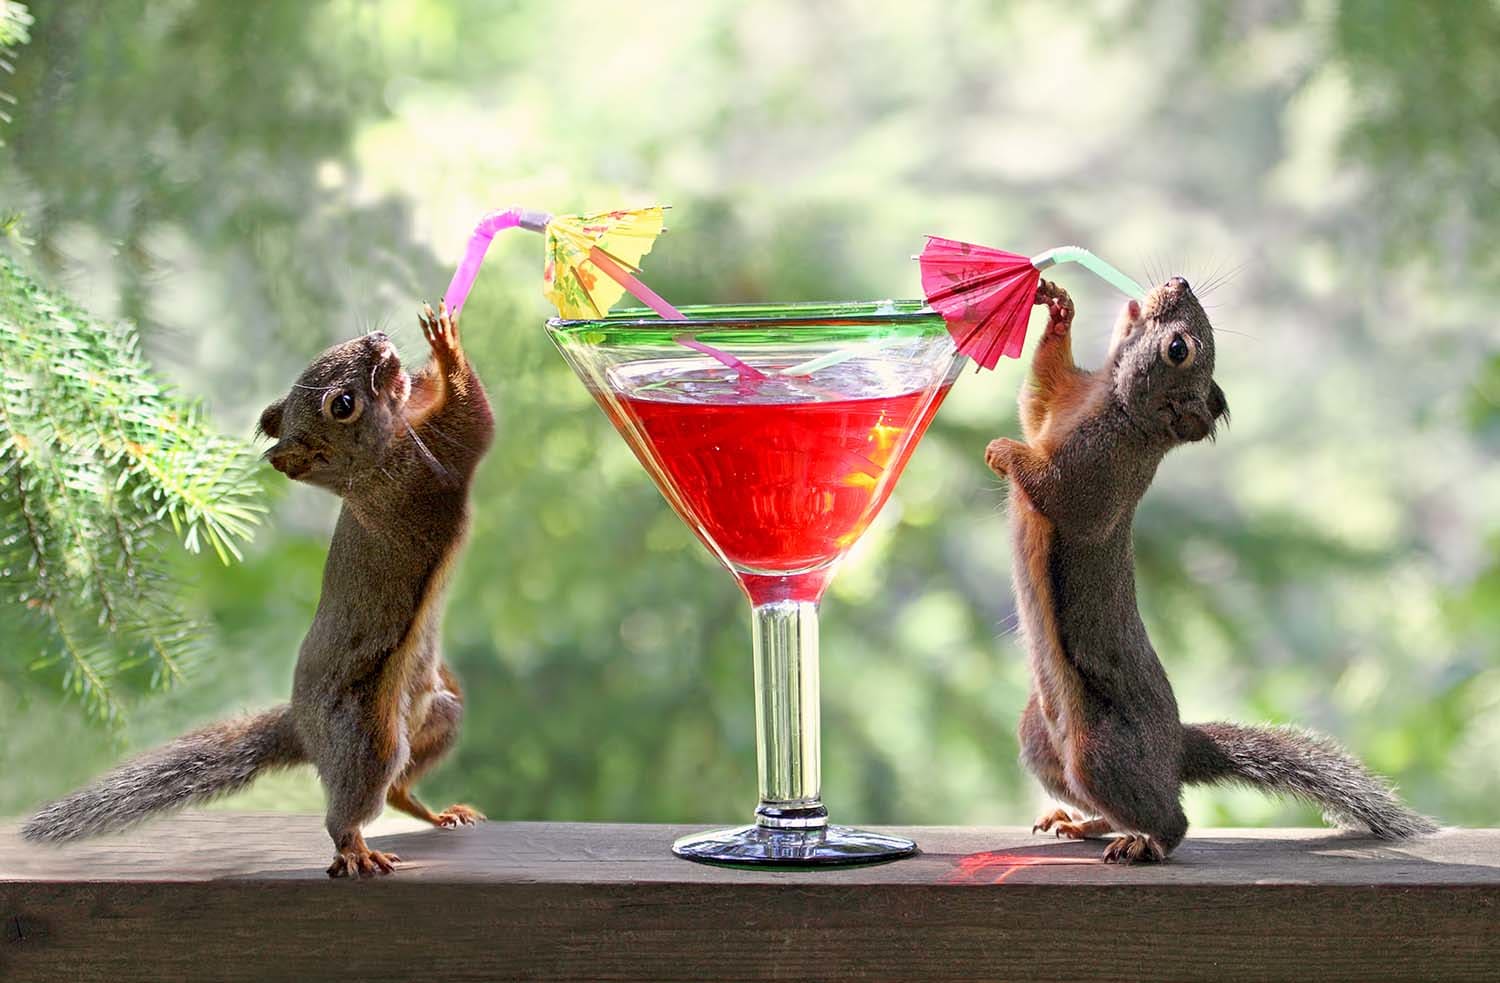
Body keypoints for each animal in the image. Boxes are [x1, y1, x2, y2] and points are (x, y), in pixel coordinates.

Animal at [22, 301, 494, 877]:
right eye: (343, 405)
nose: (379, 339)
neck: (365, 469)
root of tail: (304, 728)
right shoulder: (419, 477)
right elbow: (473, 422)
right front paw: (446, 346)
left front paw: (429, 360)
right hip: (367, 740)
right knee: (353, 805)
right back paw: (354, 850)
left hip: (437, 714)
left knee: (399, 787)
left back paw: (438, 813)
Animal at [986, 276, 1436, 863]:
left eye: (1178, 349)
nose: (1178, 281)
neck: (1110, 402)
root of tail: (1175, 749)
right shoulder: (1058, 404)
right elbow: (1037, 395)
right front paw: (1059, 309)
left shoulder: (1096, 477)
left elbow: (1054, 488)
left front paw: (1003, 450)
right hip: (1040, 738)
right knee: (1103, 802)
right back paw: (1082, 823)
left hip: (1100, 752)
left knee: (1172, 819)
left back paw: (1144, 844)